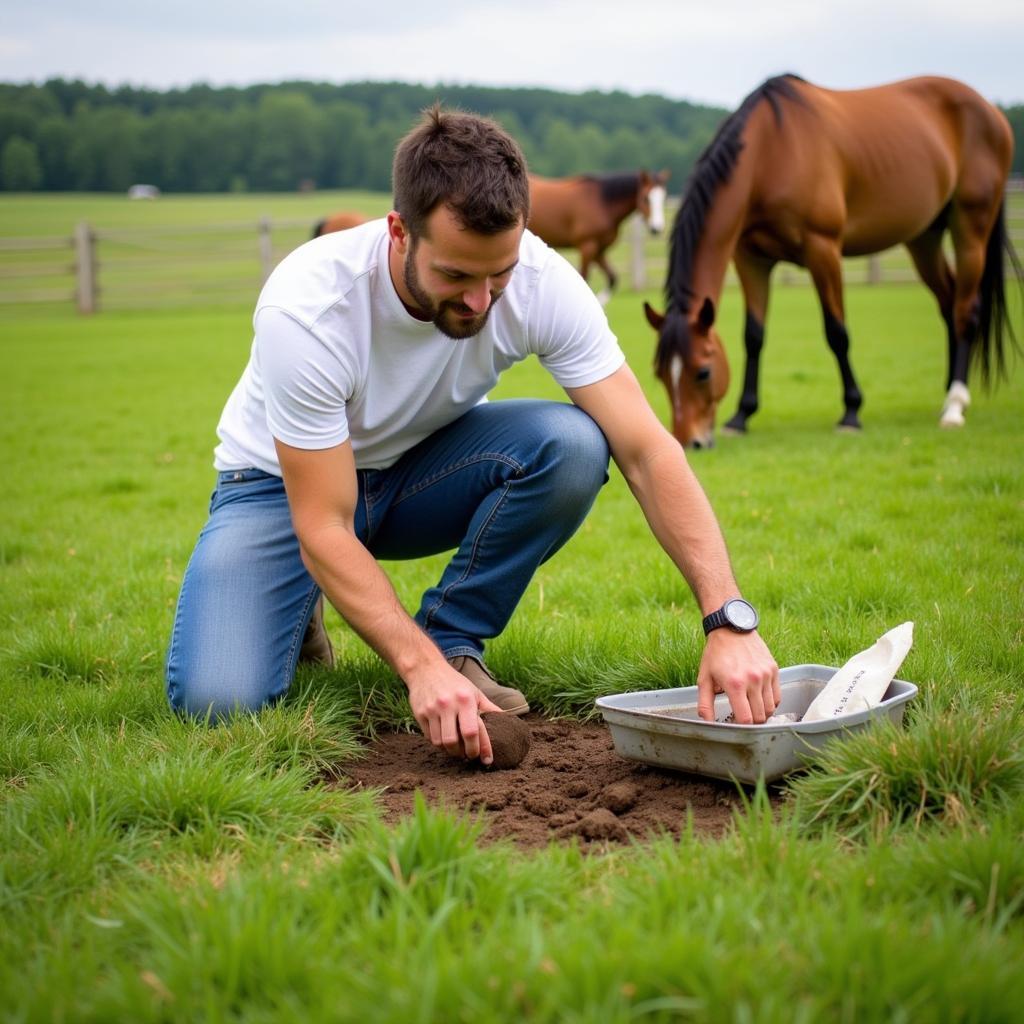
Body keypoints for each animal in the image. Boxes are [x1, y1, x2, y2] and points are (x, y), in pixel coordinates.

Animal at [528, 167, 671, 301]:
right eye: (646, 198)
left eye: (663, 198)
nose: (656, 228)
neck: (602, 203)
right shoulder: (587, 246)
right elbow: (584, 278)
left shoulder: (599, 250)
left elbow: (612, 278)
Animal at [643, 74, 1019, 450]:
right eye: (659, 373)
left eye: (703, 372)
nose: (689, 441)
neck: (770, 152)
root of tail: (989, 109)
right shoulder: (751, 258)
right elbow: (753, 336)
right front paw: (741, 416)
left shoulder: (822, 249)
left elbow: (837, 332)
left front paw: (851, 412)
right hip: (923, 238)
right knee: (948, 304)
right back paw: (948, 394)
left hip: (971, 226)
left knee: (965, 311)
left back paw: (955, 405)